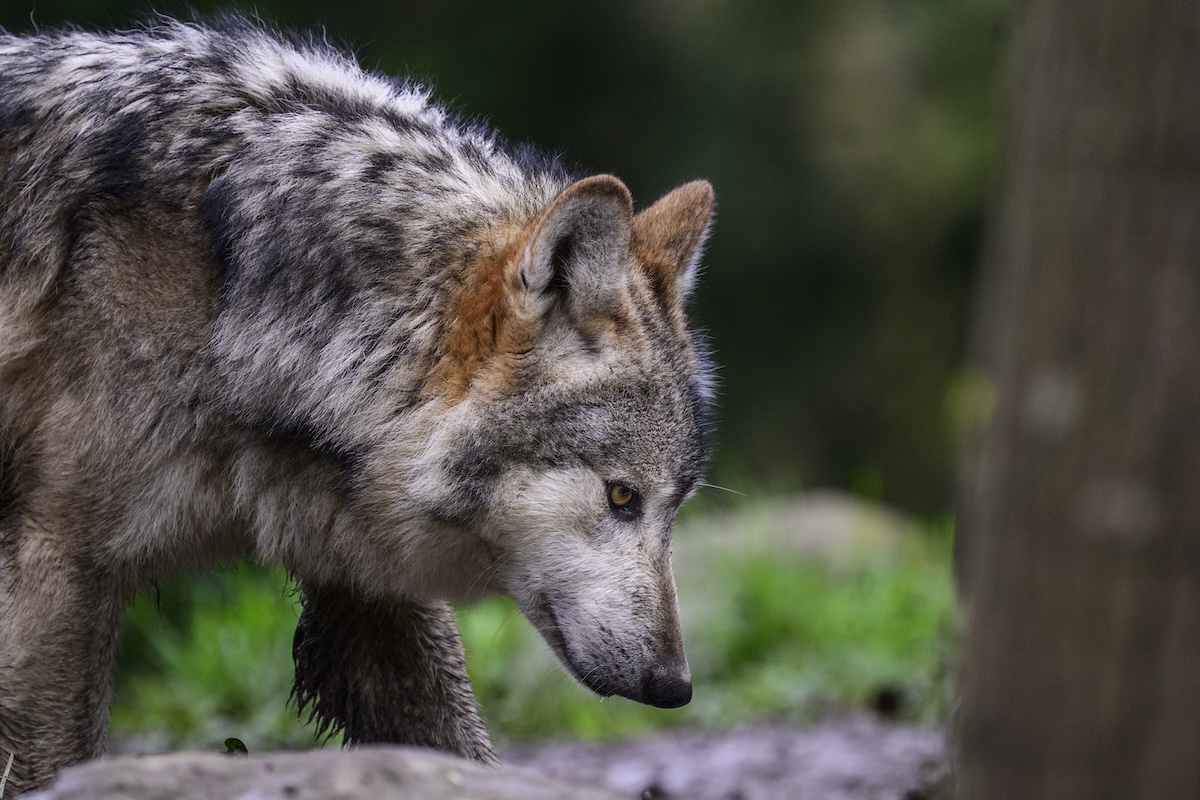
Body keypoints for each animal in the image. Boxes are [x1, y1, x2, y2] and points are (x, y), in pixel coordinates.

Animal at [0, 17, 714, 794]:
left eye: (673, 507)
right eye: (620, 497)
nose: (674, 686)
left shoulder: (366, 581)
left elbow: (455, 750)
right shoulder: (54, 567)